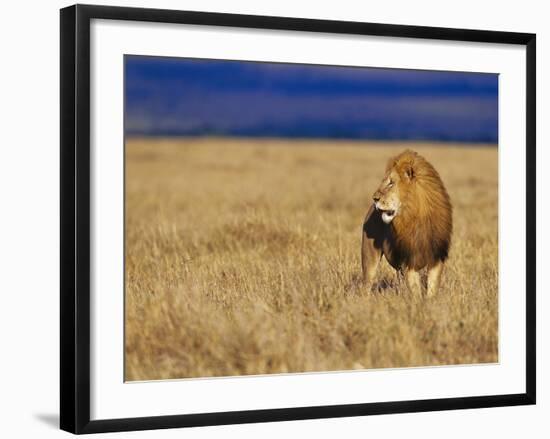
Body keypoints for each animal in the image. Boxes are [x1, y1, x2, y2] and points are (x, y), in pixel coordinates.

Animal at [362, 150, 452, 298]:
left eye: (391, 183)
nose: (374, 198)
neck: (415, 216)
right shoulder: (409, 262)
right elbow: (415, 292)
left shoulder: (436, 258)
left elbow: (432, 289)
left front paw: (432, 303)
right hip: (369, 258)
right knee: (366, 285)